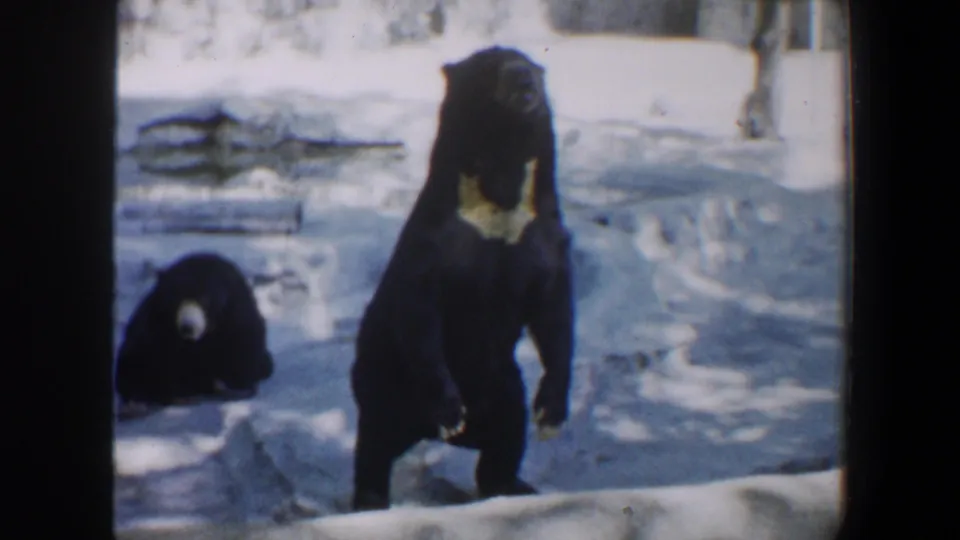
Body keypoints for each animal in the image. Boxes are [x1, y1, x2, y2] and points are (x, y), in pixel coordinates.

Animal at [114, 251, 274, 420]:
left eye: (205, 300)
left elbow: (243, 350)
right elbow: (145, 358)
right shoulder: (156, 324)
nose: (188, 327)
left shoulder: (236, 316)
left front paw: (233, 387)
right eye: (175, 300)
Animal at [349, 46, 575, 511]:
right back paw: (371, 494)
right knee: (375, 439)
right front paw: (451, 410)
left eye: (530, 64)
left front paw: (551, 414)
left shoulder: (540, 232)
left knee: (508, 429)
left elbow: (553, 308)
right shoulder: (437, 238)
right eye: (492, 66)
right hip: (383, 373)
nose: (523, 80)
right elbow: (421, 308)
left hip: (501, 379)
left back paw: (509, 482)